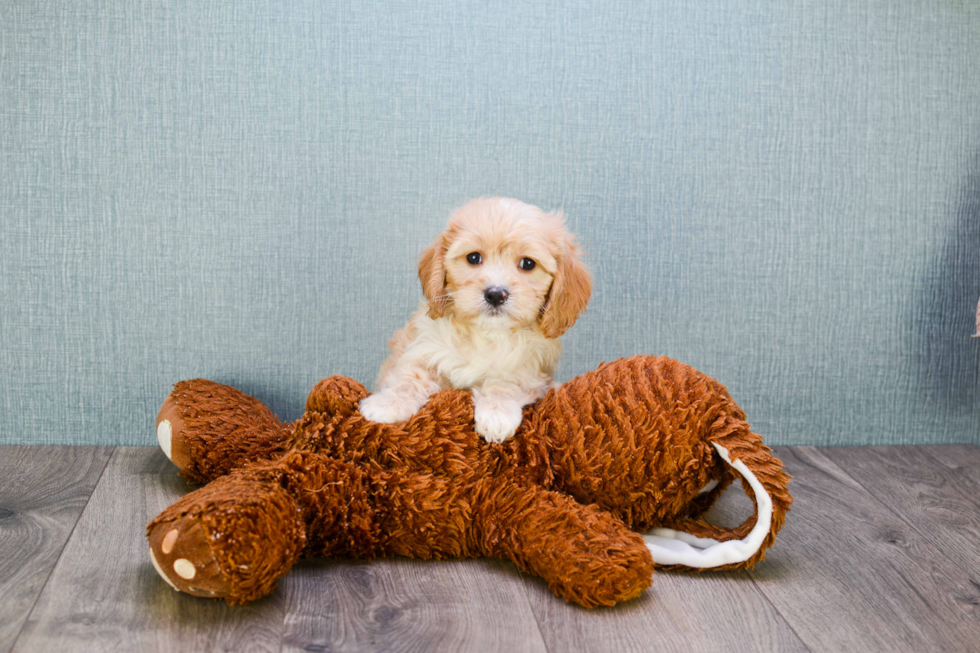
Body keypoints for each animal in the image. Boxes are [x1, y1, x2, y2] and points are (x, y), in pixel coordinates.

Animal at [358, 197, 588, 444]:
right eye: (474, 258)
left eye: (528, 264)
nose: (495, 294)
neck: (486, 334)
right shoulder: (422, 350)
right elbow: (409, 378)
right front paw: (387, 404)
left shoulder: (530, 370)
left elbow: (504, 382)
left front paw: (497, 414)